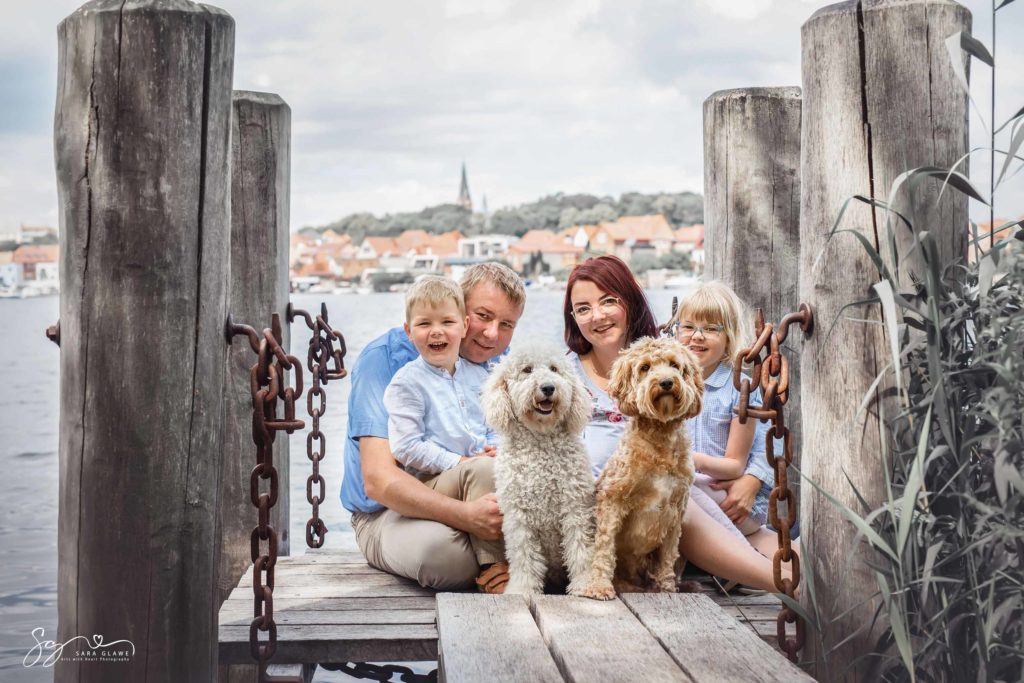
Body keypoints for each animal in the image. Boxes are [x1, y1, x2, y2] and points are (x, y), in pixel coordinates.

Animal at [483, 344, 598, 593]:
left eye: (554, 369)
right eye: (527, 369)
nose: (548, 387)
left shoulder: (575, 507)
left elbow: (580, 548)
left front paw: (584, 584)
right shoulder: (518, 516)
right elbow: (524, 556)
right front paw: (522, 589)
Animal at [581, 335, 708, 598]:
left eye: (674, 365)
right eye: (645, 367)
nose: (667, 382)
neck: (660, 435)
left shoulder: (676, 509)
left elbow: (668, 555)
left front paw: (667, 588)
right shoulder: (612, 499)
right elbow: (604, 547)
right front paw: (599, 586)